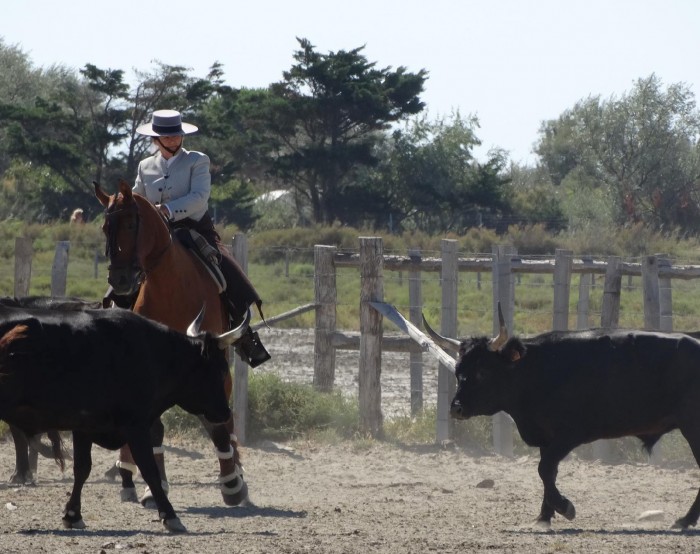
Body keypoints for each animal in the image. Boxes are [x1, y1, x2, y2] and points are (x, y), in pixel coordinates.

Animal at [0, 302, 249, 532]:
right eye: (221, 368)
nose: (225, 412)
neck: (150, 354)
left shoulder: (84, 426)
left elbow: (82, 469)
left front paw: (72, 514)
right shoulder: (135, 425)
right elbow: (149, 469)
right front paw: (169, 515)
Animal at [94, 179, 249, 506]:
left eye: (131, 223)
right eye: (104, 226)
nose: (120, 280)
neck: (171, 288)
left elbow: (219, 424)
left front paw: (232, 483)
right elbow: (154, 429)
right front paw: (156, 487)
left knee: (226, 423)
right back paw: (127, 474)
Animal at [422, 304, 700, 528]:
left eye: (482, 371)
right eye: (459, 371)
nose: (456, 408)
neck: (538, 370)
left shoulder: (569, 435)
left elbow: (544, 469)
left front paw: (565, 507)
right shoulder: (547, 439)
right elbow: (548, 473)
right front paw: (544, 516)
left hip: (693, 429)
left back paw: (685, 520)